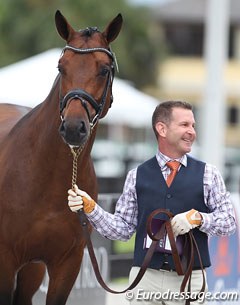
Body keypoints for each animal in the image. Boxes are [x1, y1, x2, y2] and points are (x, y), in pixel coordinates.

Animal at [0, 10, 123, 304]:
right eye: (61, 67)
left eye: (104, 69)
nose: (73, 128)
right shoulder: (5, 260)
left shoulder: (67, 264)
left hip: (31, 270)